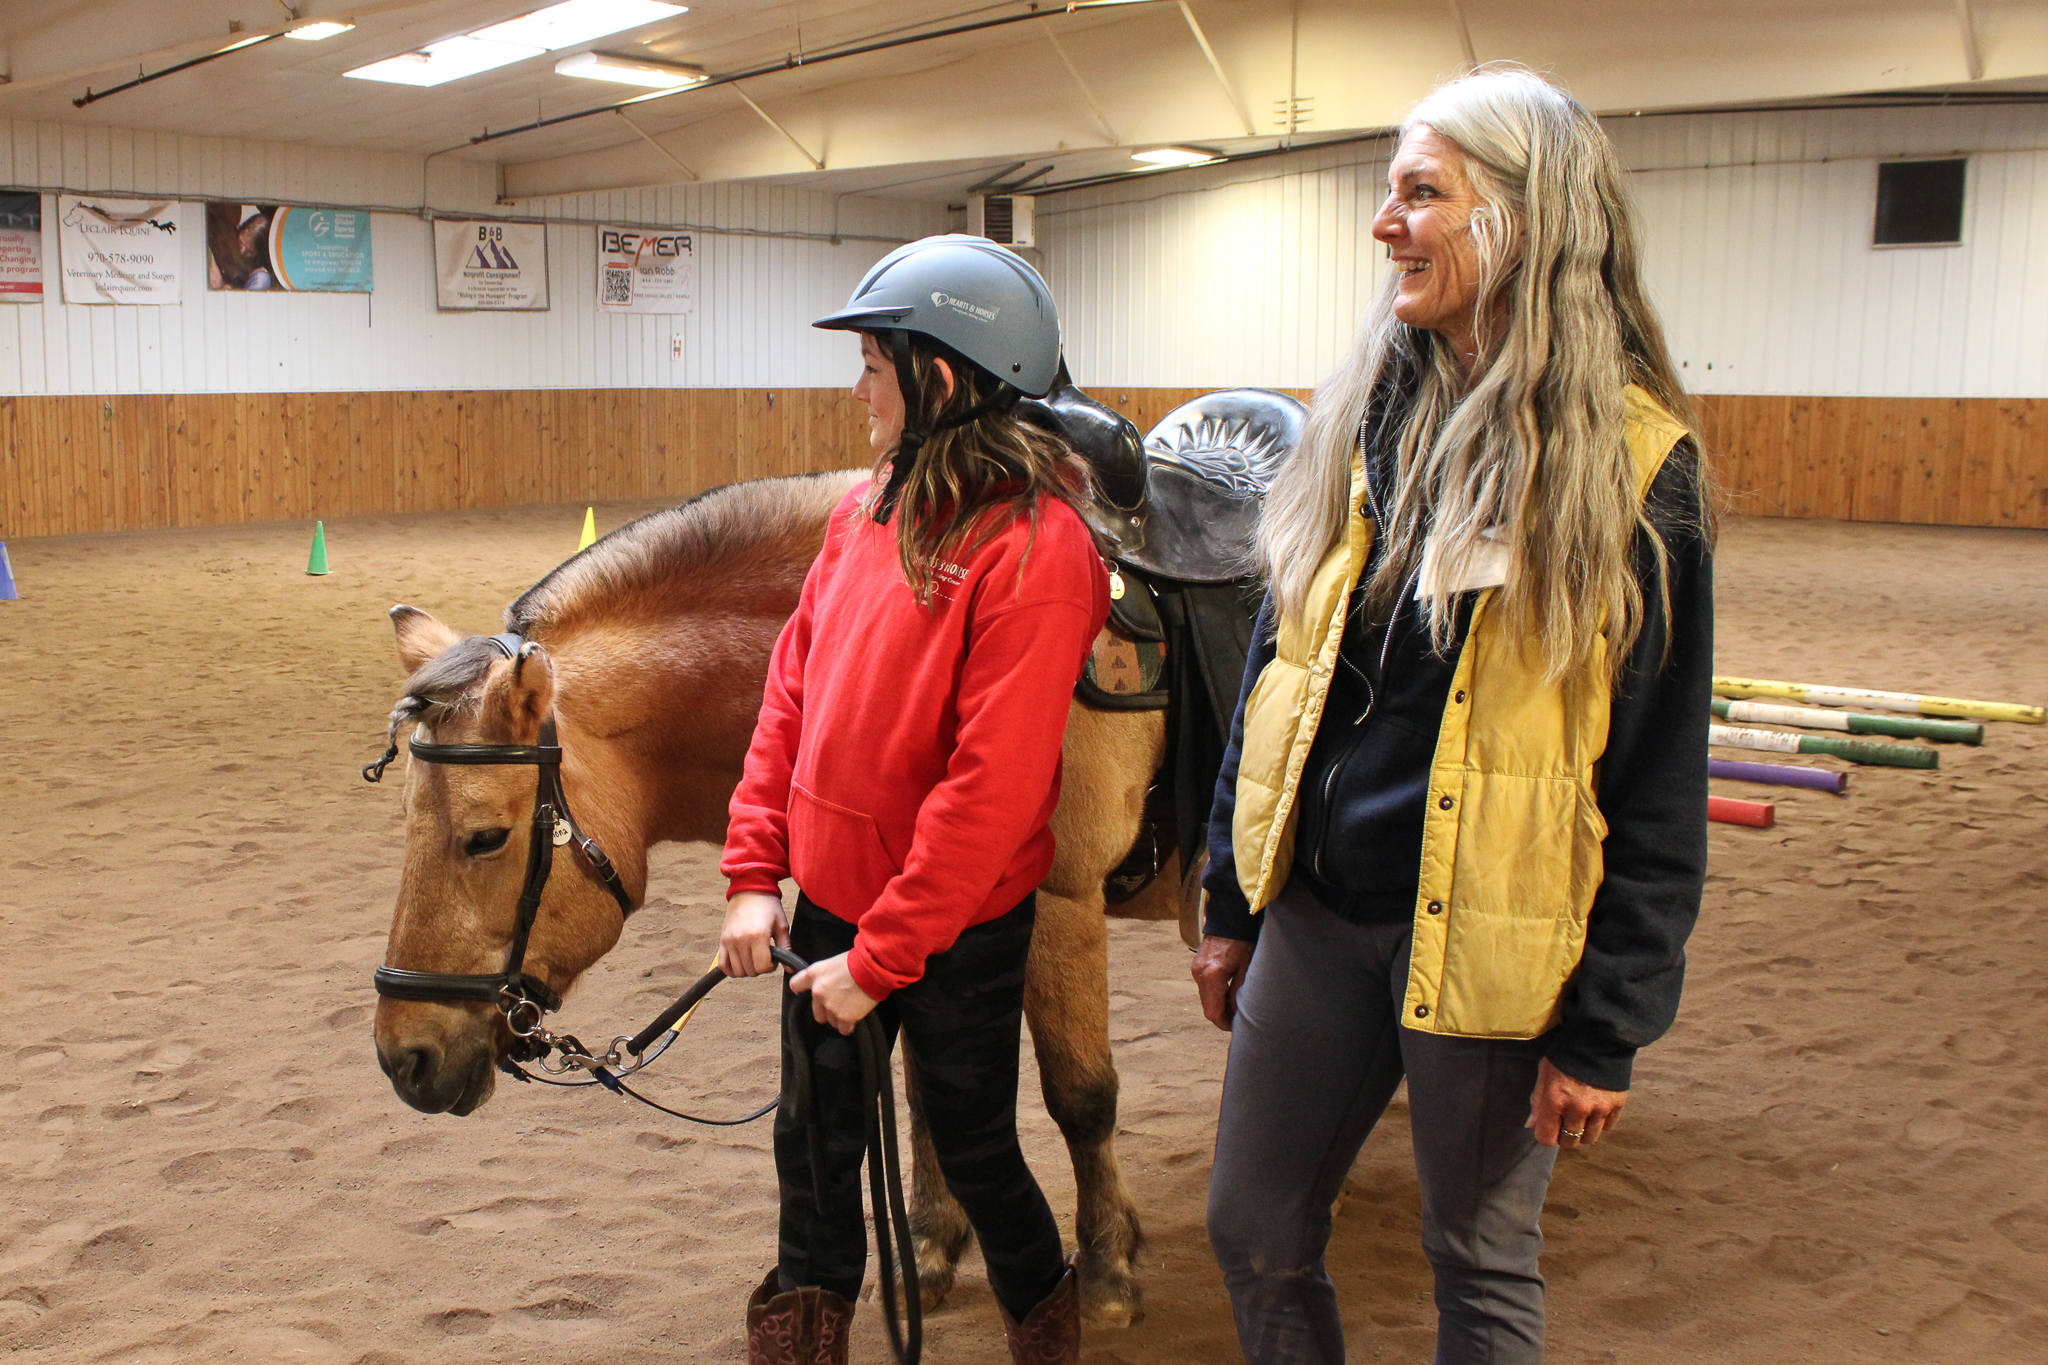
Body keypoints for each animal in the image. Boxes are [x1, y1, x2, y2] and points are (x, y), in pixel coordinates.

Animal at [369, 470, 1171, 1325]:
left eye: (485, 837)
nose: (402, 1056)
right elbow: (925, 1098)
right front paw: (929, 1245)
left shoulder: (1058, 902)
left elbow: (1080, 1093)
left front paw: (1108, 1268)